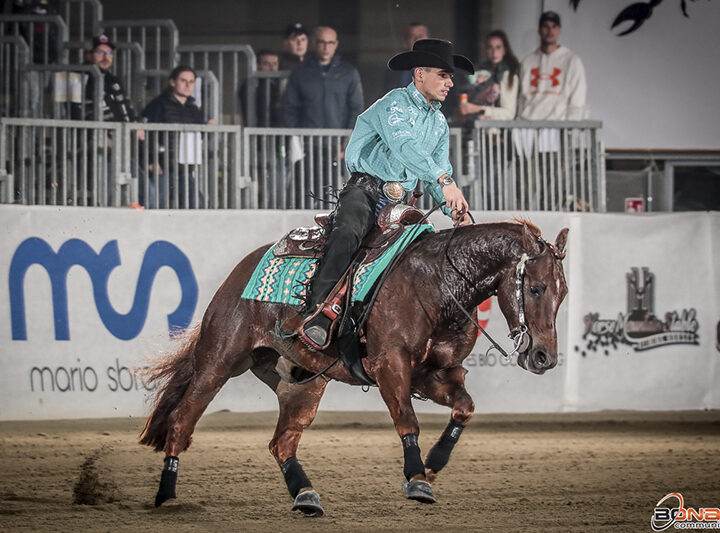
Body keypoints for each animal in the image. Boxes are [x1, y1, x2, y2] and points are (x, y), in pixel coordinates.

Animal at [139, 217, 568, 516]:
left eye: (562, 293)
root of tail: (238, 275)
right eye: (535, 288)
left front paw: (432, 465)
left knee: (282, 443)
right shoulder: (389, 365)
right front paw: (417, 481)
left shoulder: (433, 375)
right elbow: (407, 421)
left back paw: (306, 495)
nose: (544, 357)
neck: (436, 284)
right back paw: (168, 496)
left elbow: (465, 407)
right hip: (218, 362)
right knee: (181, 420)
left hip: (302, 385)